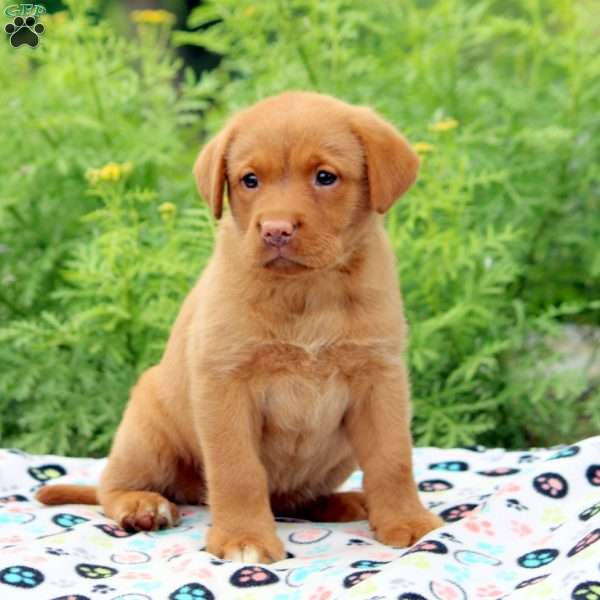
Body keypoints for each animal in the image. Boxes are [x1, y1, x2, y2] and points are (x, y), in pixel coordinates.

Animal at [36, 90, 440, 564]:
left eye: (325, 177)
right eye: (249, 181)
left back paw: (342, 503)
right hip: (147, 429)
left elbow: (393, 460)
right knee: (110, 486)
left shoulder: (380, 379)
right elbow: (237, 471)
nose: (276, 230)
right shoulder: (225, 384)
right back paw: (143, 505)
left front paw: (408, 521)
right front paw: (244, 538)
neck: (305, 292)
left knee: (293, 499)